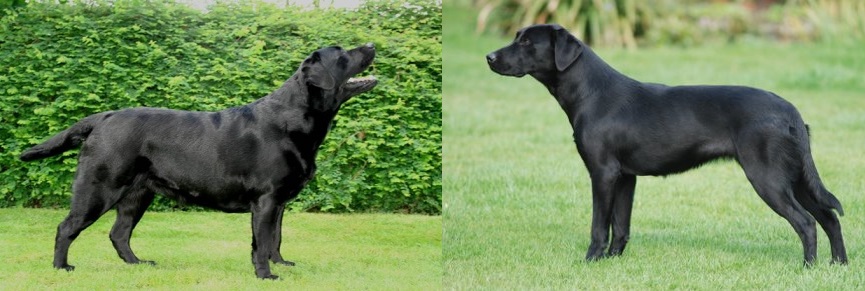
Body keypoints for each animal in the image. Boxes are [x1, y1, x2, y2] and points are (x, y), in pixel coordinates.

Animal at [18, 42, 376, 278]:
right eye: (343, 54)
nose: (371, 44)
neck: (295, 119)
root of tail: (103, 117)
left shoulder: (279, 202)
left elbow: (275, 237)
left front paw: (281, 264)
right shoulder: (266, 198)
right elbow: (261, 241)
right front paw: (265, 274)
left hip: (137, 195)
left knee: (119, 234)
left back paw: (137, 264)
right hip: (99, 187)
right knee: (66, 227)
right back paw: (61, 267)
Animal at [486, 24, 844, 266]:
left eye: (527, 42)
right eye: (517, 36)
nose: (489, 57)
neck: (591, 92)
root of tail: (790, 111)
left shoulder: (602, 172)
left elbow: (599, 225)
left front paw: (590, 261)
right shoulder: (625, 177)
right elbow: (621, 225)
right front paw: (612, 262)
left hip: (768, 178)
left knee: (806, 222)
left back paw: (807, 267)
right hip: (795, 179)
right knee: (829, 217)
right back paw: (837, 264)